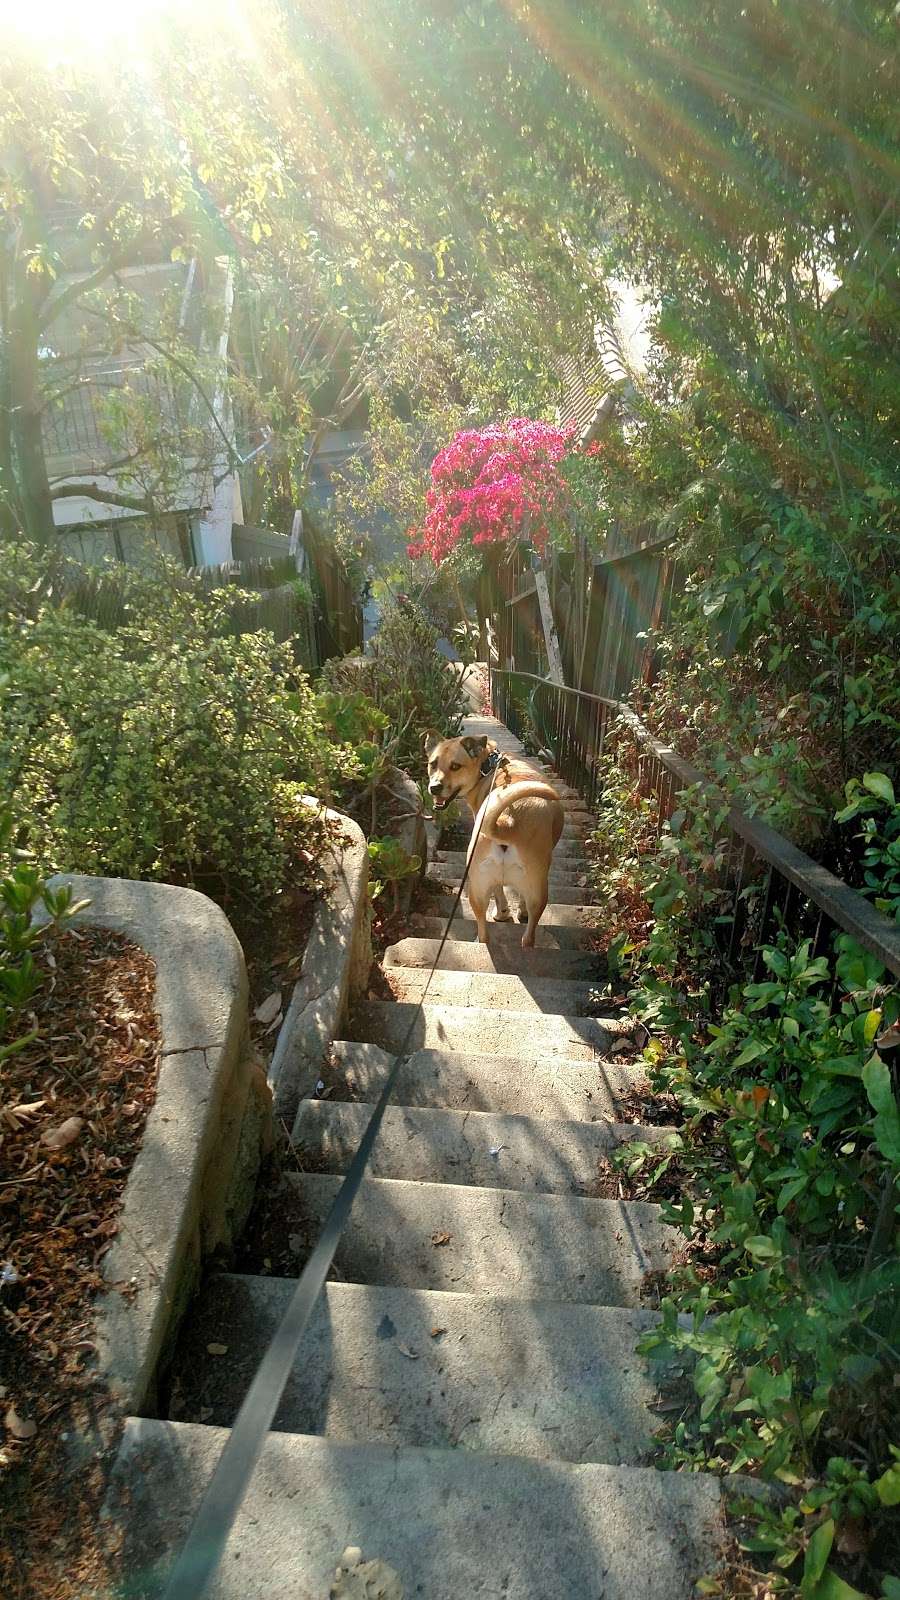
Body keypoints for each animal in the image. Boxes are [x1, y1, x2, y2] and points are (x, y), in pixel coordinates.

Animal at [422, 732, 560, 940]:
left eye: (455, 766)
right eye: (433, 764)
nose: (434, 787)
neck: (487, 765)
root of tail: (506, 820)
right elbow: (507, 894)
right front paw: (510, 913)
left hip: (477, 889)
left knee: (484, 931)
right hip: (537, 891)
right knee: (527, 937)